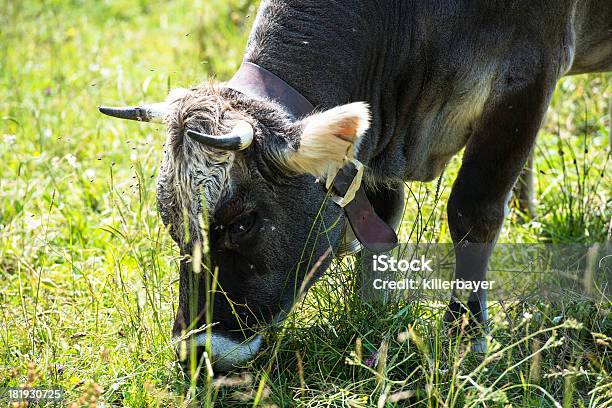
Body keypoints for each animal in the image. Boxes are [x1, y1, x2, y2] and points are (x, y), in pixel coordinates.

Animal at [98, 0, 608, 370]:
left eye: (243, 223)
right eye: (171, 223)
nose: (195, 351)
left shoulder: (527, 78)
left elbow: (472, 212)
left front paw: (465, 334)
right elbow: (382, 216)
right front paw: (374, 308)